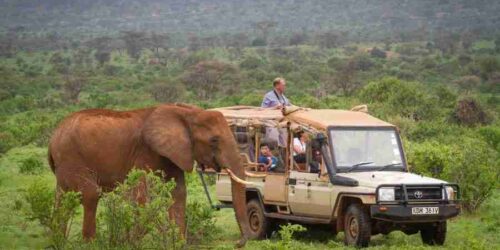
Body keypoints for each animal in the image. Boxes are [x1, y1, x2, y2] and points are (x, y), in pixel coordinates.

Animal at [48, 103, 252, 246]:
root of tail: (53, 137)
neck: (186, 113)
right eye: (214, 140)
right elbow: (142, 196)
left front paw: (178, 243)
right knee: (91, 194)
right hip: (71, 157)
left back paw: (59, 241)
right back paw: (89, 244)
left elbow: (178, 194)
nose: (238, 243)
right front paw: (131, 242)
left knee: (61, 198)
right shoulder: (145, 151)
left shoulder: (174, 154)